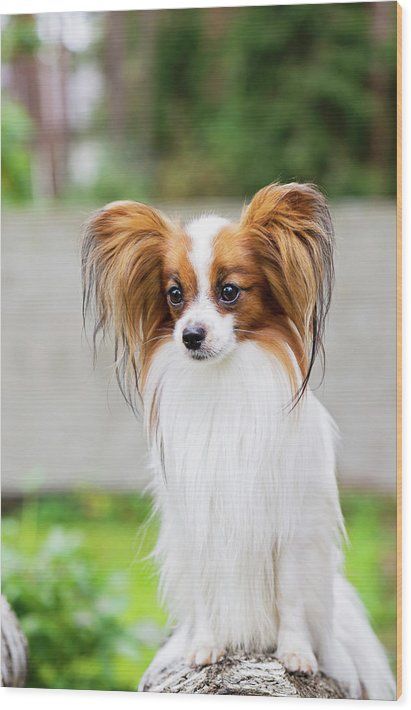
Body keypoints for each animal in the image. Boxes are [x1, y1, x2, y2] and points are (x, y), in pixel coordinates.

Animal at [83, 184, 396, 700]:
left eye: (229, 291)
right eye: (174, 295)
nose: (191, 336)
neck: (223, 381)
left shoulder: (290, 524)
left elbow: (290, 597)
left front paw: (296, 654)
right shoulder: (199, 521)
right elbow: (206, 594)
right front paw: (205, 648)